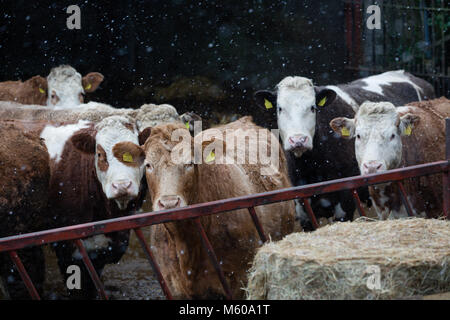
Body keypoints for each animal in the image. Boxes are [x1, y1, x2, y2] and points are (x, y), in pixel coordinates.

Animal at [256, 70, 436, 230]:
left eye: (312, 107)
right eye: (280, 108)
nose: (298, 140)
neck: (313, 168)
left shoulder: (345, 204)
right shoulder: (303, 211)